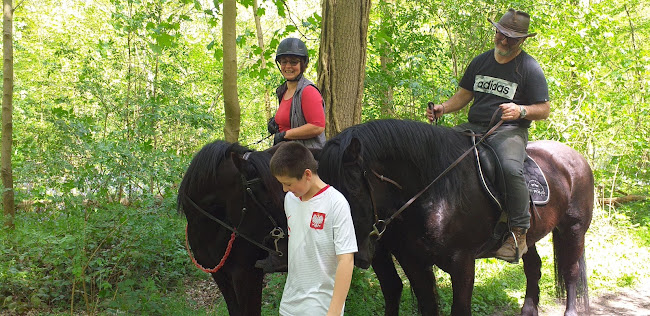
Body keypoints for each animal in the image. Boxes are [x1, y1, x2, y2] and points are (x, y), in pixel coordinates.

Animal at [316, 119, 592, 316]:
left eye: (351, 190)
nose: (356, 256)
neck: (437, 192)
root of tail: (576, 158)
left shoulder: (463, 264)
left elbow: (459, 309)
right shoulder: (414, 262)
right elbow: (427, 306)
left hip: (573, 229)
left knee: (570, 272)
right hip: (528, 237)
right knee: (533, 267)